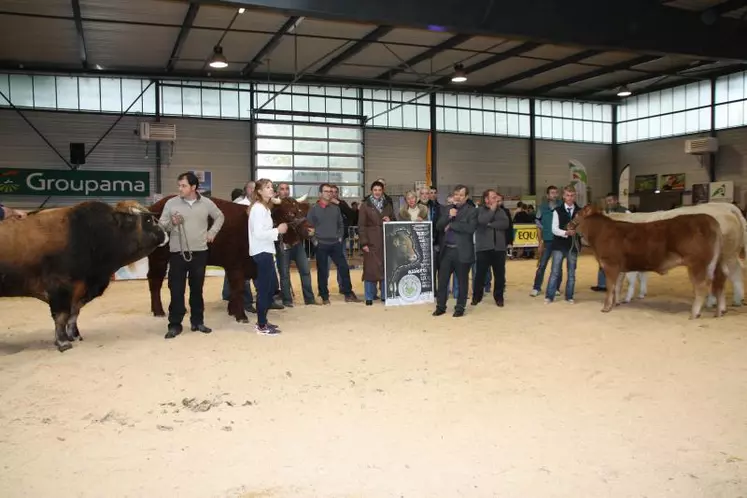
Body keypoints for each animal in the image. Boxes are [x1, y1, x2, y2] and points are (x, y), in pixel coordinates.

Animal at [572, 205, 724, 320]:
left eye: (576, 215)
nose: (568, 224)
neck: (600, 233)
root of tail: (708, 219)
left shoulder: (610, 265)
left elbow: (610, 287)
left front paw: (606, 307)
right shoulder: (618, 268)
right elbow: (617, 286)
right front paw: (616, 303)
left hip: (697, 264)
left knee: (701, 287)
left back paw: (694, 314)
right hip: (711, 265)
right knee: (718, 283)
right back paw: (719, 311)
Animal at [608, 201, 747, 304]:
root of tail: (726, 206)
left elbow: (630, 279)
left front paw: (626, 298)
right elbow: (639, 277)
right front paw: (640, 294)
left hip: (723, 255)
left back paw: (713, 301)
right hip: (731, 253)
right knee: (735, 271)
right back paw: (737, 299)